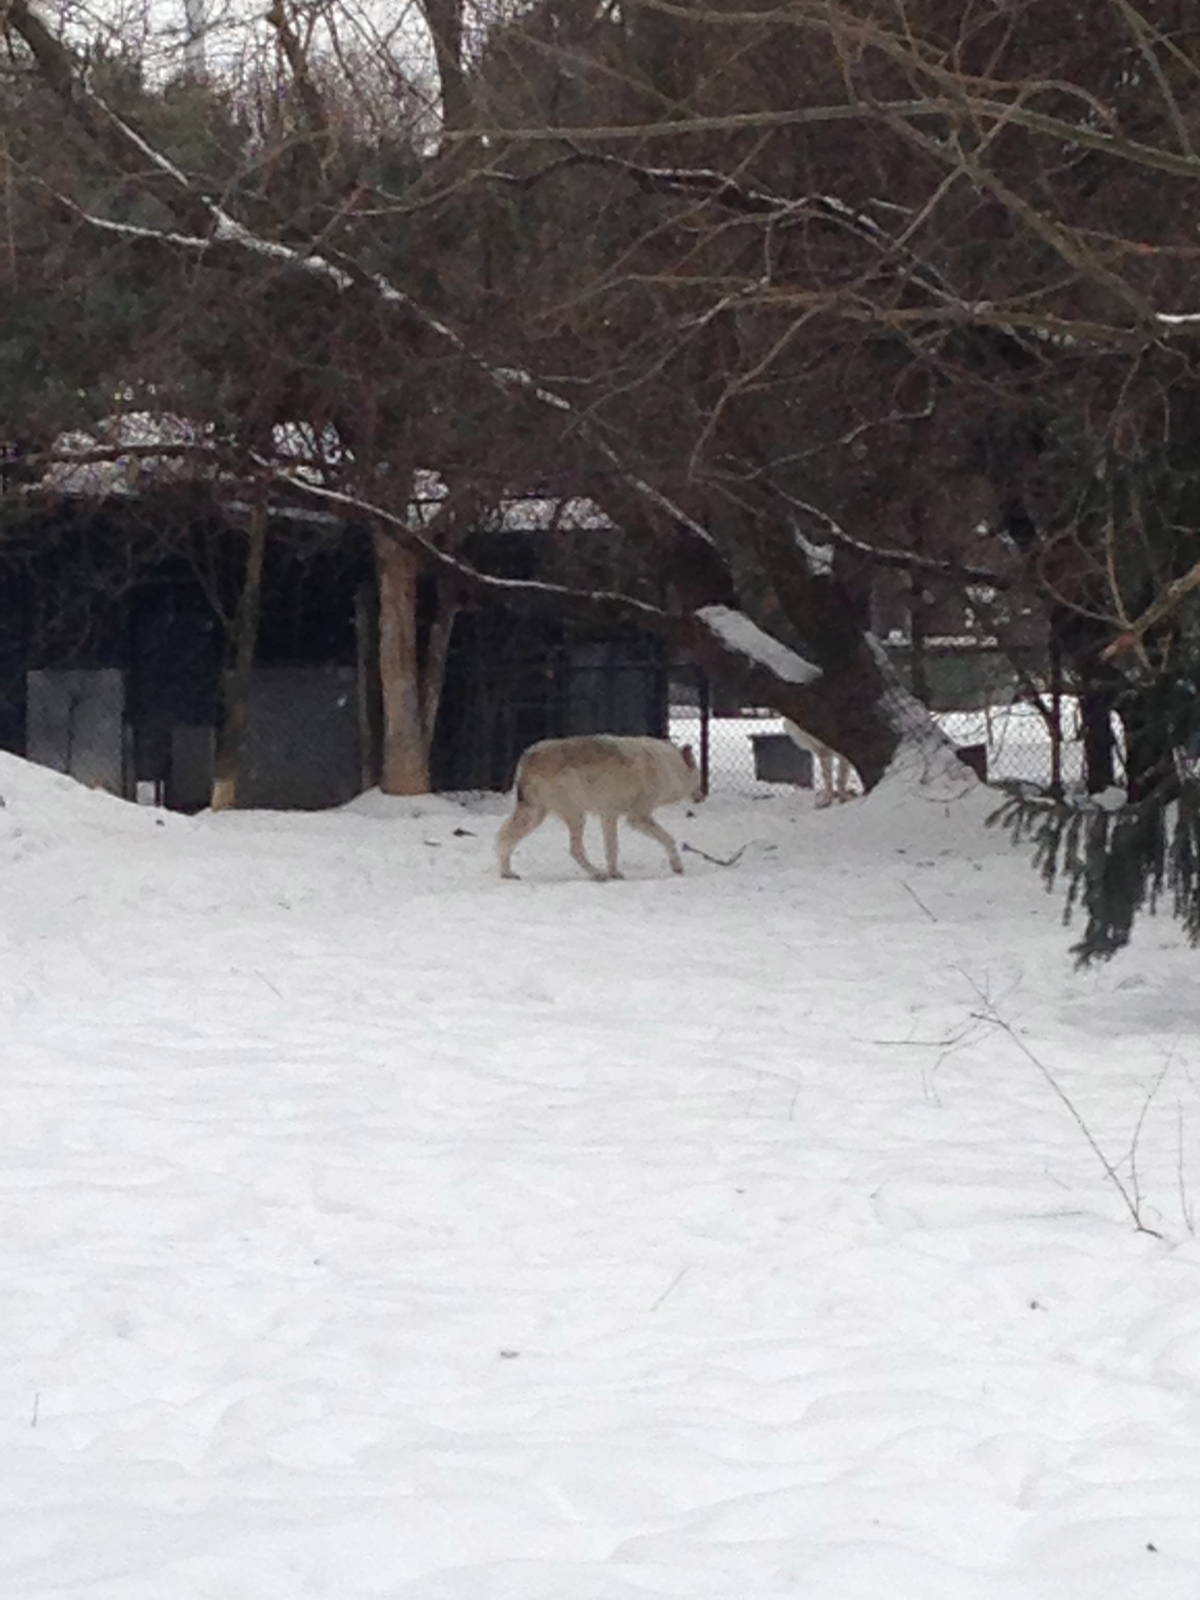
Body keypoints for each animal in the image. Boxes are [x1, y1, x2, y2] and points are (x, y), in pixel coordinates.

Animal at [497, 735, 704, 881]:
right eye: (699, 777)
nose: (703, 796)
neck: (669, 767)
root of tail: (527, 757)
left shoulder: (609, 816)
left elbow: (612, 849)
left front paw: (614, 874)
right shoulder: (638, 817)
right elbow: (669, 839)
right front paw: (677, 867)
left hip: (535, 816)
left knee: (503, 837)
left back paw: (507, 873)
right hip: (576, 816)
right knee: (575, 850)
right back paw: (597, 874)